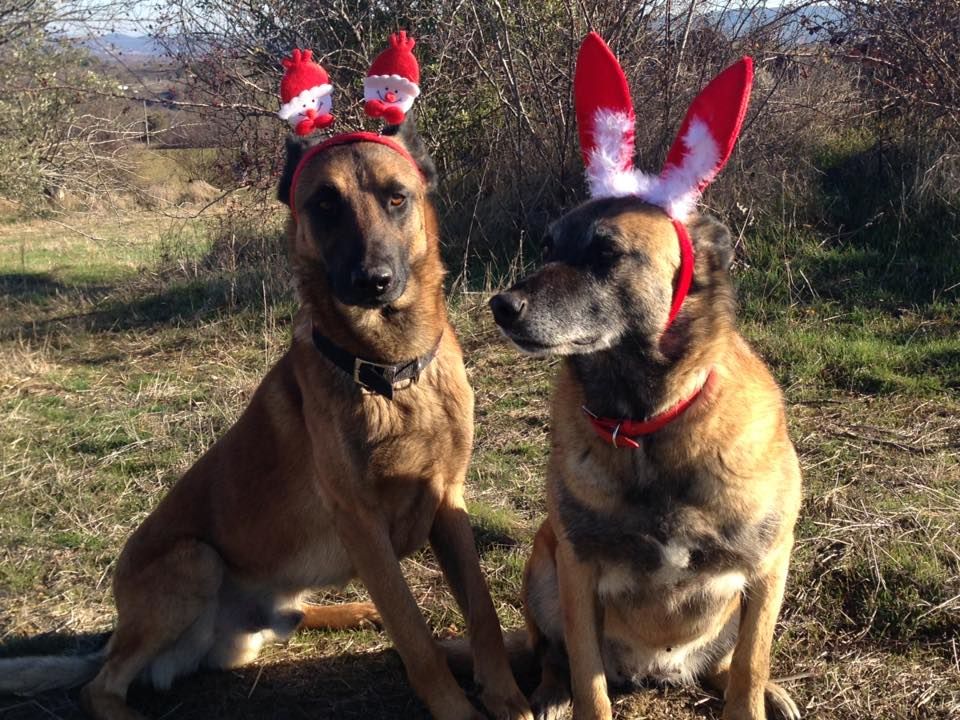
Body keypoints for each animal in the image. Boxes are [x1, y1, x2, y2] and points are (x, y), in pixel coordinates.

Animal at [496, 32, 804, 720]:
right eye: (550, 246)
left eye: (606, 253)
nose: (502, 306)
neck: (647, 424)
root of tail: (658, 672)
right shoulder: (579, 572)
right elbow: (589, 682)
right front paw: (573, 695)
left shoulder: (767, 567)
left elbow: (750, 665)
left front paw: (756, 691)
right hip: (544, 567)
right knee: (553, 654)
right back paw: (547, 695)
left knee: (728, 667)